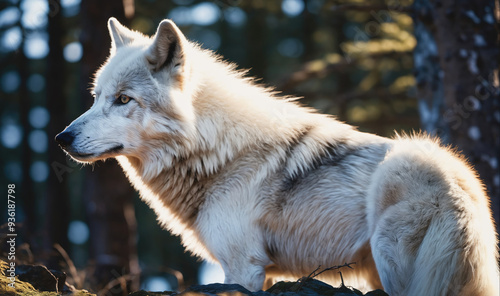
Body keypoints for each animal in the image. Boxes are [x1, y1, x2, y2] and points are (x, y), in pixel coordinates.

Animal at [55, 18, 500, 296]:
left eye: (123, 99)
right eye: (95, 97)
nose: (61, 137)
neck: (217, 151)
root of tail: (468, 189)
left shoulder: (242, 268)